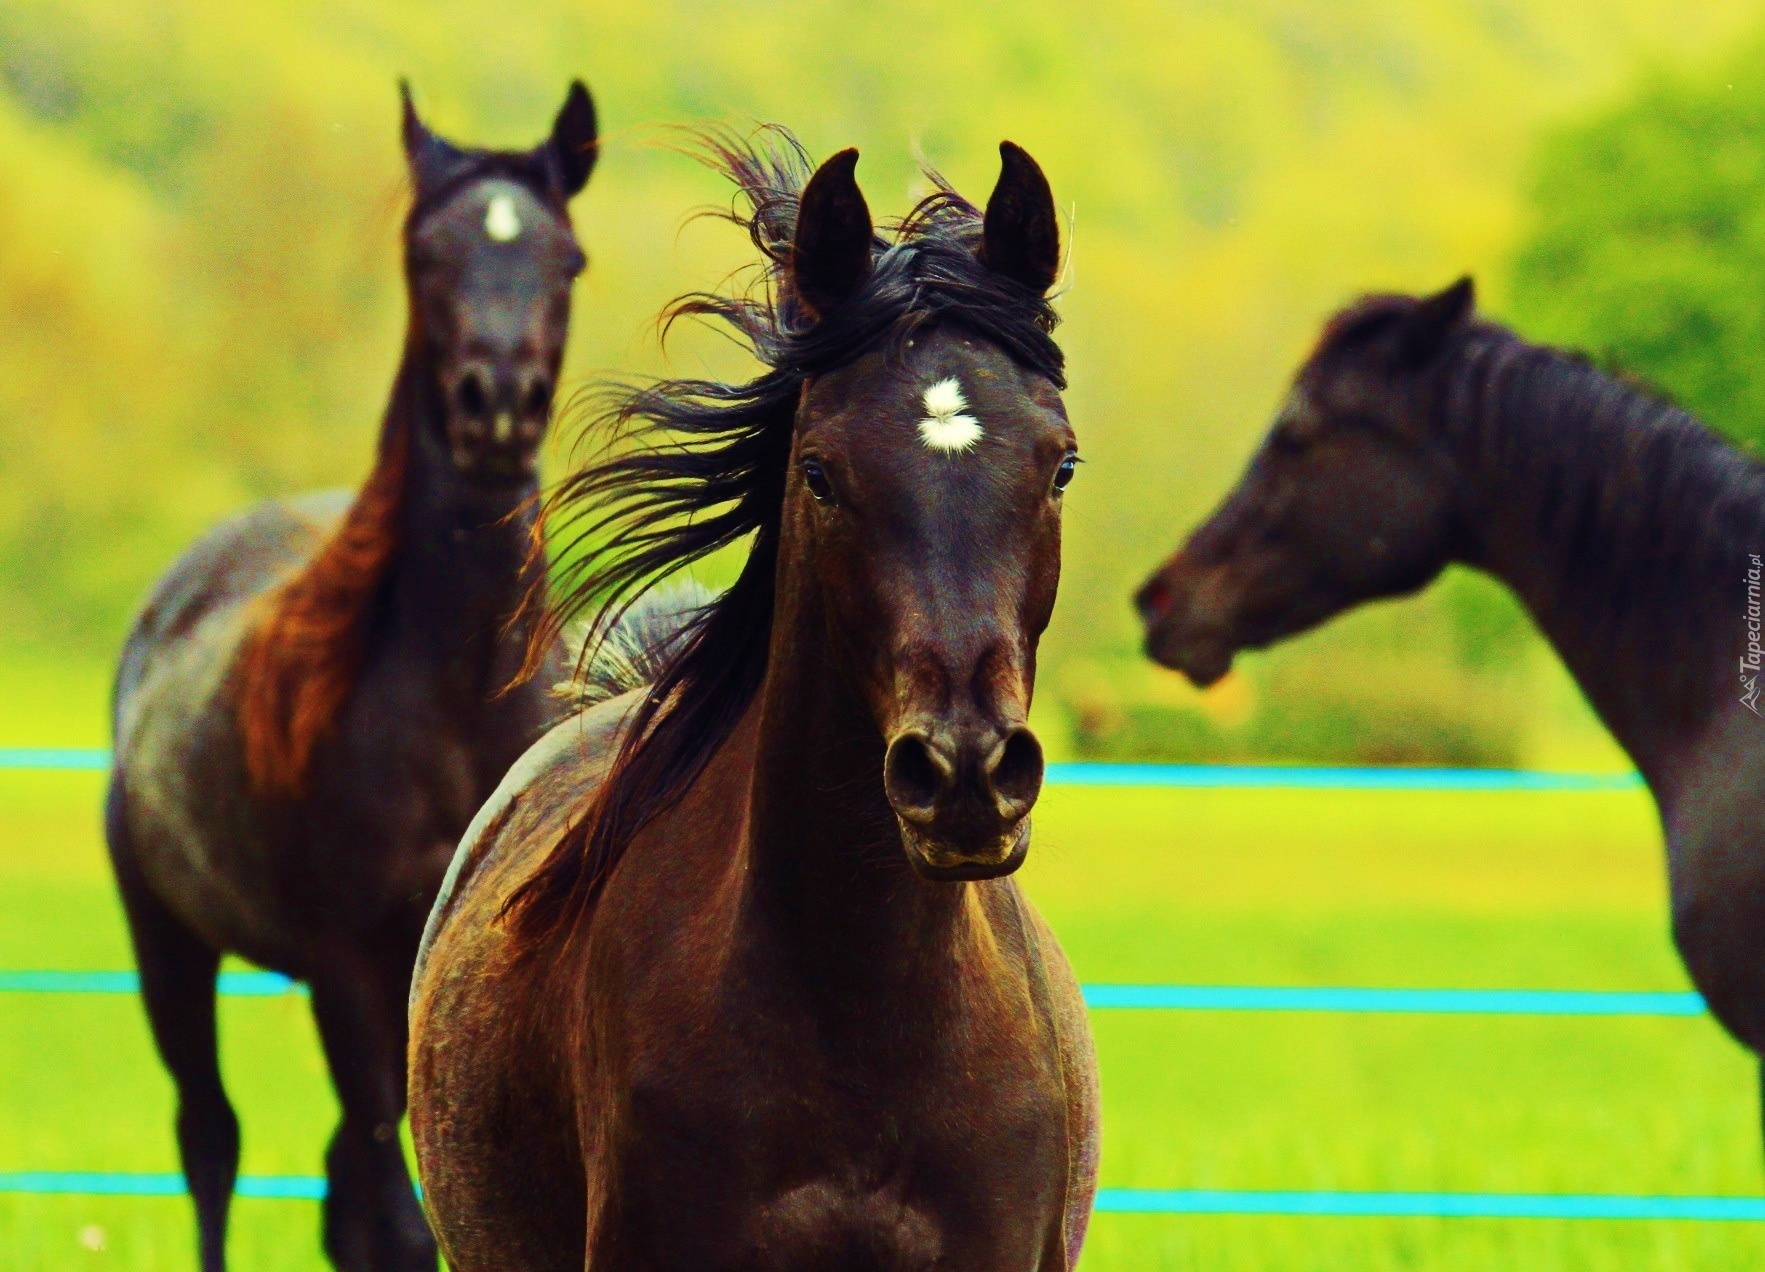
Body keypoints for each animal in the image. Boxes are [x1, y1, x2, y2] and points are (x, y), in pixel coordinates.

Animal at [105, 84, 600, 1263]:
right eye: (425, 253)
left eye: (565, 258)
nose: (496, 404)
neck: (458, 694)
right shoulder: (346, 968)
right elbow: (399, 1220)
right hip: (168, 947)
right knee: (211, 1142)